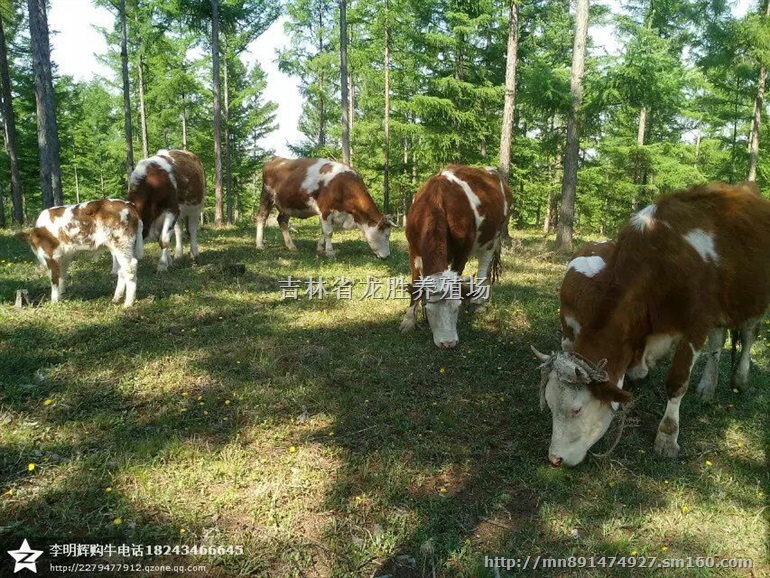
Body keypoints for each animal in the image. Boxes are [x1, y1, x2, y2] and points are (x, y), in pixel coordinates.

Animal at [255, 156, 392, 258]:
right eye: (386, 235)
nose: (387, 256)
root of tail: (276, 158)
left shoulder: (334, 213)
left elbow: (324, 231)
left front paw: (320, 248)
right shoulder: (325, 209)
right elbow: (329, 232)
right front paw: (330, 252)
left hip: (287, 204)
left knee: (282, 220)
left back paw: (291, 246)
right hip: (267, 196)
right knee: (261, 217)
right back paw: (259, 245)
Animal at [400, 164, 512, 348]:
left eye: (456, 308)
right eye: (431, 309)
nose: (449, 343)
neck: (436, 201)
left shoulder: (462, 251)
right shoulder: (413, 248)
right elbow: (416, 284)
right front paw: (409, 320)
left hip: (494, 238)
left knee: (483, 267)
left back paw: (478, 303)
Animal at [532, 182, 764, 466]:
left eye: (577, 409)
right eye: (549, 403)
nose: (555, 458)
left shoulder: (696, 323)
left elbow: (677, 382)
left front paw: (667, 437)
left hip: (753, 299)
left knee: (750, 333)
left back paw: (740, 378)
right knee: (718, 340)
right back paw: (707, 387)